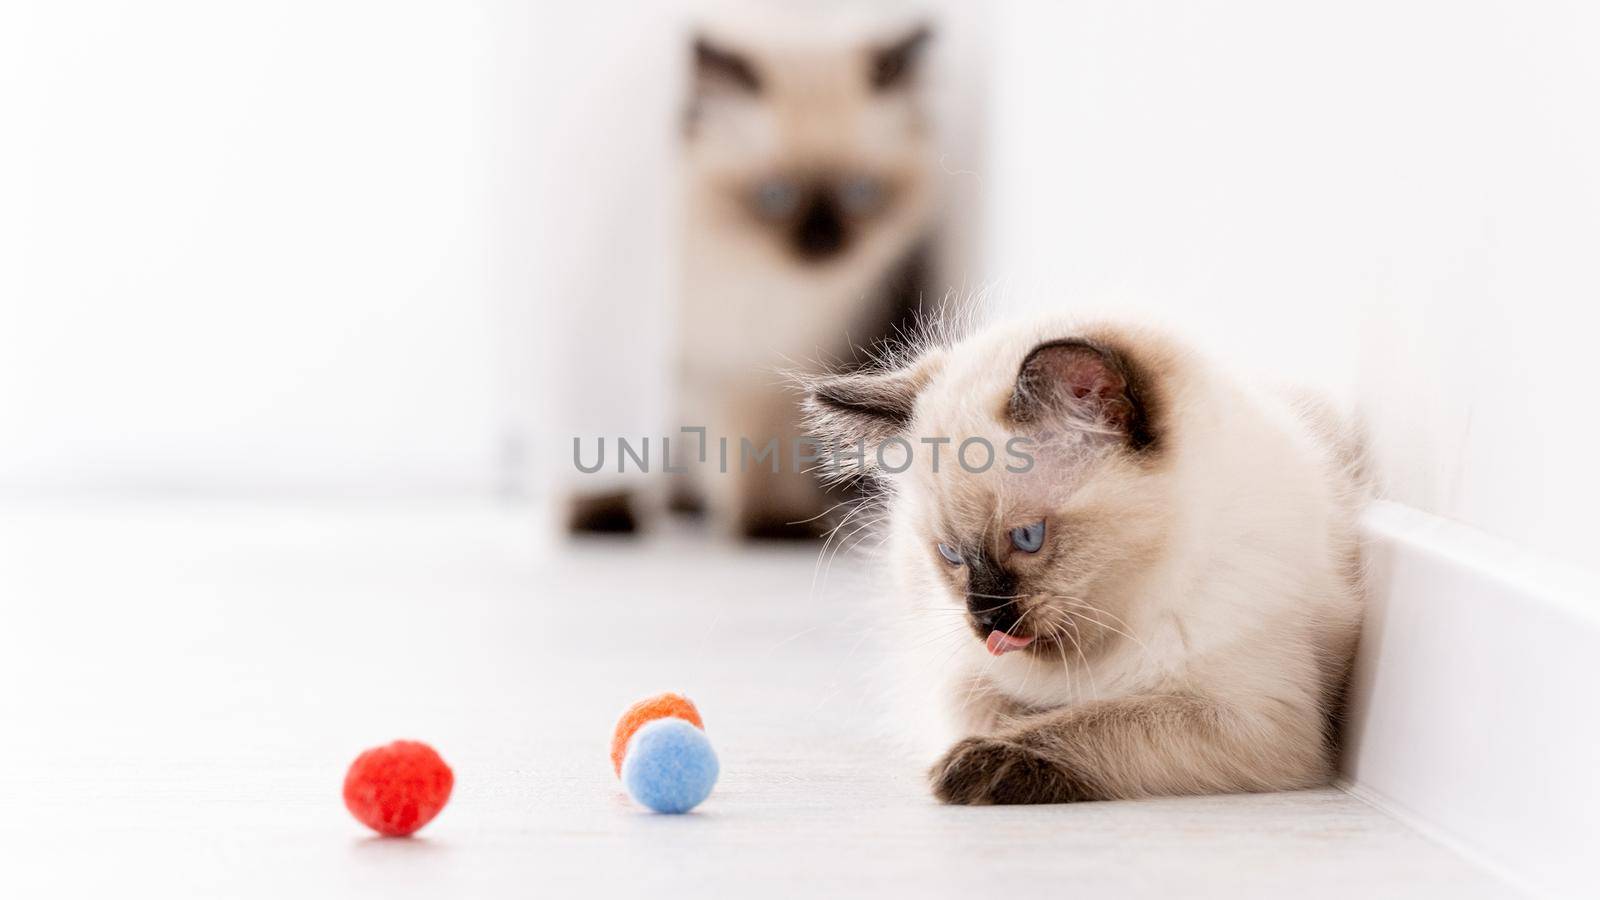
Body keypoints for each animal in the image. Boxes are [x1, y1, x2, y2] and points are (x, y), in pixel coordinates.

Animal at [572, 10, 934, 534]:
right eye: (775, 196)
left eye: (860, 192)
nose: (824, 245)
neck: (752, 285)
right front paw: (600, 511)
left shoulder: (765, 369)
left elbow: (759, 450)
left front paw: (772, 521)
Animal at [800, 315, 1363, 797]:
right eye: (950, 554)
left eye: (1028, 537)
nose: (985, 619)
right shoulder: (962, 675)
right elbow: (993, 707)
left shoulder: (1249, 716)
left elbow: (1090, 720)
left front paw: (979, 763)